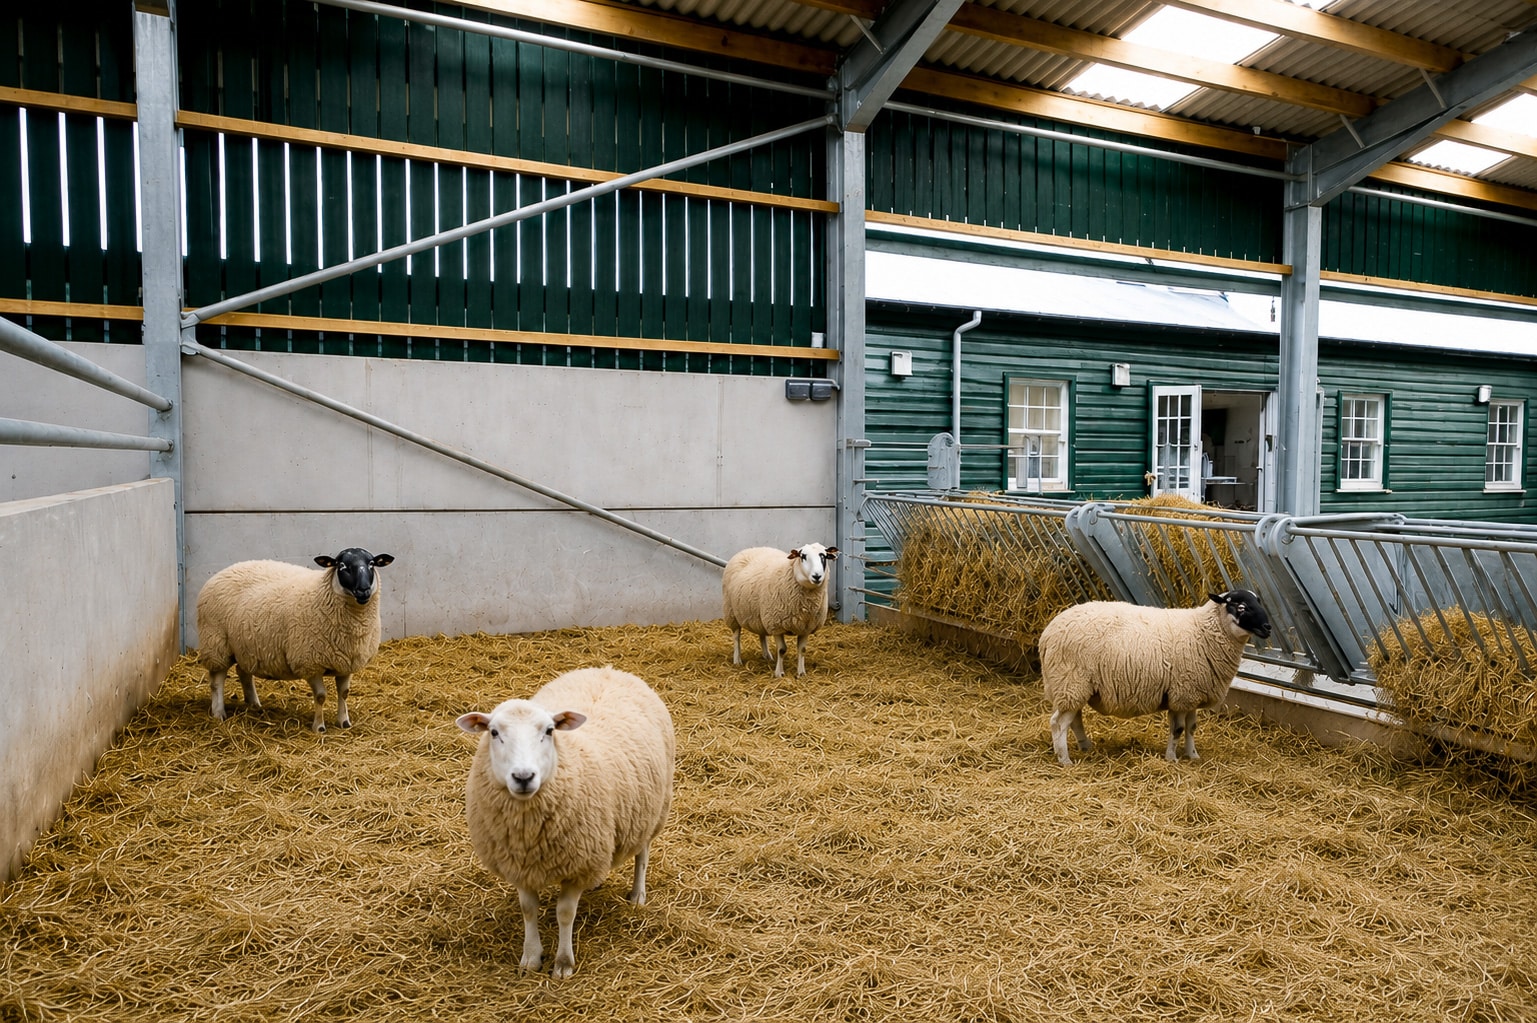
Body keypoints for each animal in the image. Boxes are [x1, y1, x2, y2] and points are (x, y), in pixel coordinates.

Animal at [195, 547, 395, 733]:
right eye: (342, 566)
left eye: (372, 564)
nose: (363, 591)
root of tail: (223, 571)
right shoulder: (309, 662)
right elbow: (321, 696)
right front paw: (319, 727)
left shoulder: (347, 662)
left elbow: (344, 693)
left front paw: (344, 722)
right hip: (216, 643)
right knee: (217, 680)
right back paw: (219, 713)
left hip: (247, 645)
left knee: (243, 672)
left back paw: (254, 704)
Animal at [457, 665, 675, 979]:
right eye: (494, 732)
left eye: (549, 731)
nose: (523, 777)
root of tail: (608, 669)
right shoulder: (519, 863)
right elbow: (528, 908)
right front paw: (531, 957)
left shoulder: (578, 864)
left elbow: (565, 913)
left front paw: (563, 963)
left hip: (652, 810)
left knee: (642, 856)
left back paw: (637, 895)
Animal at [721, 542, 840, 678]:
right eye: (803, 556)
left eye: (824, 556)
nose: (817, 576)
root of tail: (751, 549)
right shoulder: (776, 625)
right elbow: (782, 650)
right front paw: (779, 673)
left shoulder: (806, 627)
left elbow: (802, 649)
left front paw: (801, 672)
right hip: (731, 612)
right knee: (736, 637)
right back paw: (737, 660)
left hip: (760, 615)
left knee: (761, 634)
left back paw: (767, 656)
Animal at [1039, 588, 1272, 766]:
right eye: (1241, 607)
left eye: (1259, 602)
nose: (1268, 627)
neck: (1203, 631)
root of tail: (1047, 634)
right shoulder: (1182, 693)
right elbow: (1178, 729)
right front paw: (1172, 758)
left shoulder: (1192, 695)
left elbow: (1191, 728)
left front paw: (1193, 755)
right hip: (1070, 681)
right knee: (1058, 723)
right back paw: (1065, 760)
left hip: (1075, 686)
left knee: (1074, 719)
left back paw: (1086, 747)